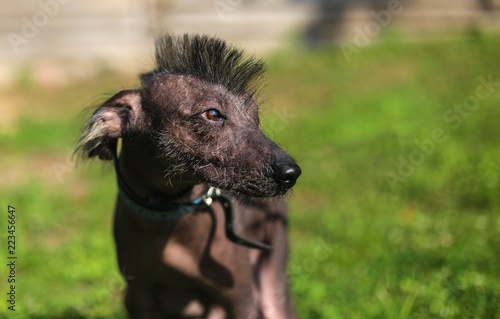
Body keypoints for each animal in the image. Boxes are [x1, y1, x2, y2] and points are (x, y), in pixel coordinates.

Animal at [74, 33, 300, 318]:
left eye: (255, 118)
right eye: (212, 114)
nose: (291, 173)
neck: (166, 212)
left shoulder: (242, 300)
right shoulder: (138, 297)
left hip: (272, 286)